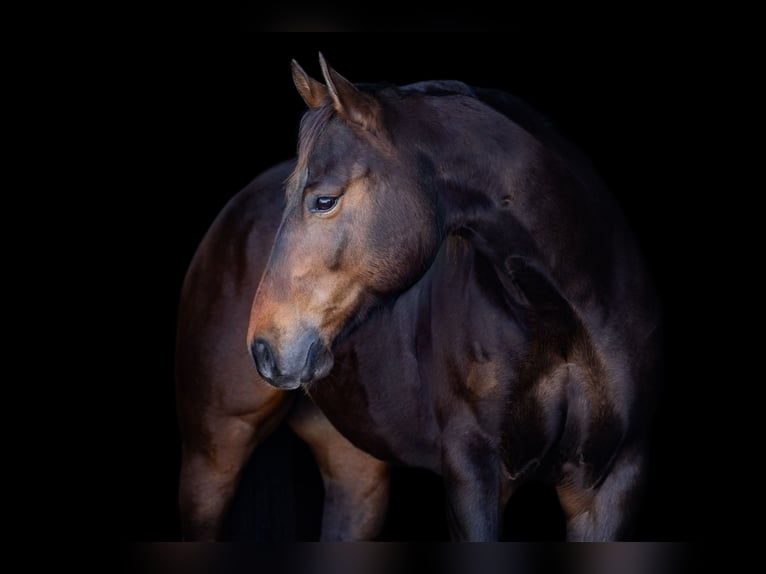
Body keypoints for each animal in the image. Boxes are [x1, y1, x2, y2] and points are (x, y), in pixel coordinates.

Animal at [177, 54, 661, 541]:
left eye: (324, 200)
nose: (264, 347)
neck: (559, 314)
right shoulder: (473, 470)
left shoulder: (611, 482)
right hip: (214, 453)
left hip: (356, 471)